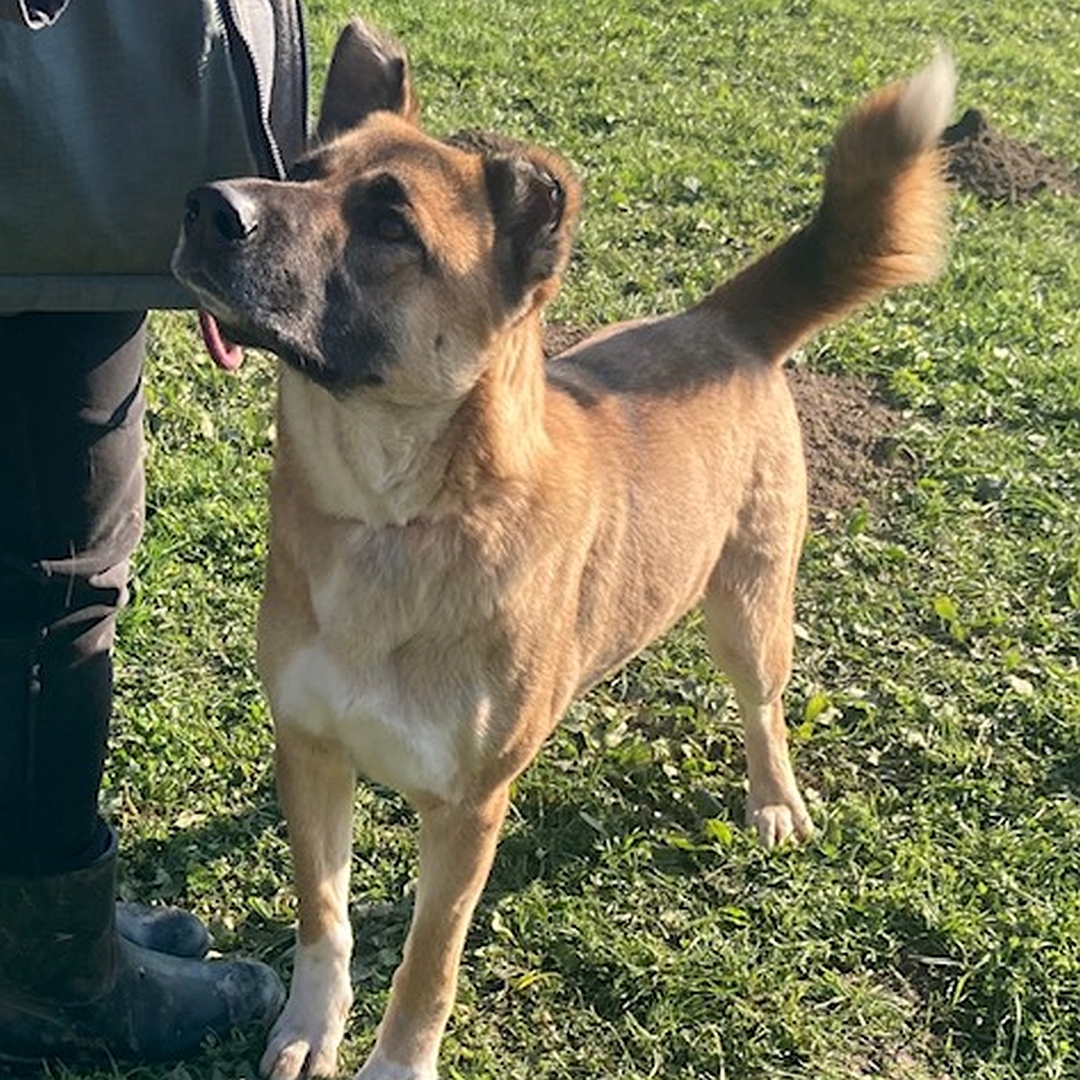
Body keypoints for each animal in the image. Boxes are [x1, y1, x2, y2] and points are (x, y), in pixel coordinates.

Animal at [172, 19, 959, 1080]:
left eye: (391, 227)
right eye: (299, 172)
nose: (210, 204)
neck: (391, 516)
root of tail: (721, 320)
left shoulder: (467, 814)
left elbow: (426, 965)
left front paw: (395, 1061)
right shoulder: (309, 750)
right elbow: (324, 917)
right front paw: (311, 1024)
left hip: (750, 609)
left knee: (764, 709)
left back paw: (774, 799)